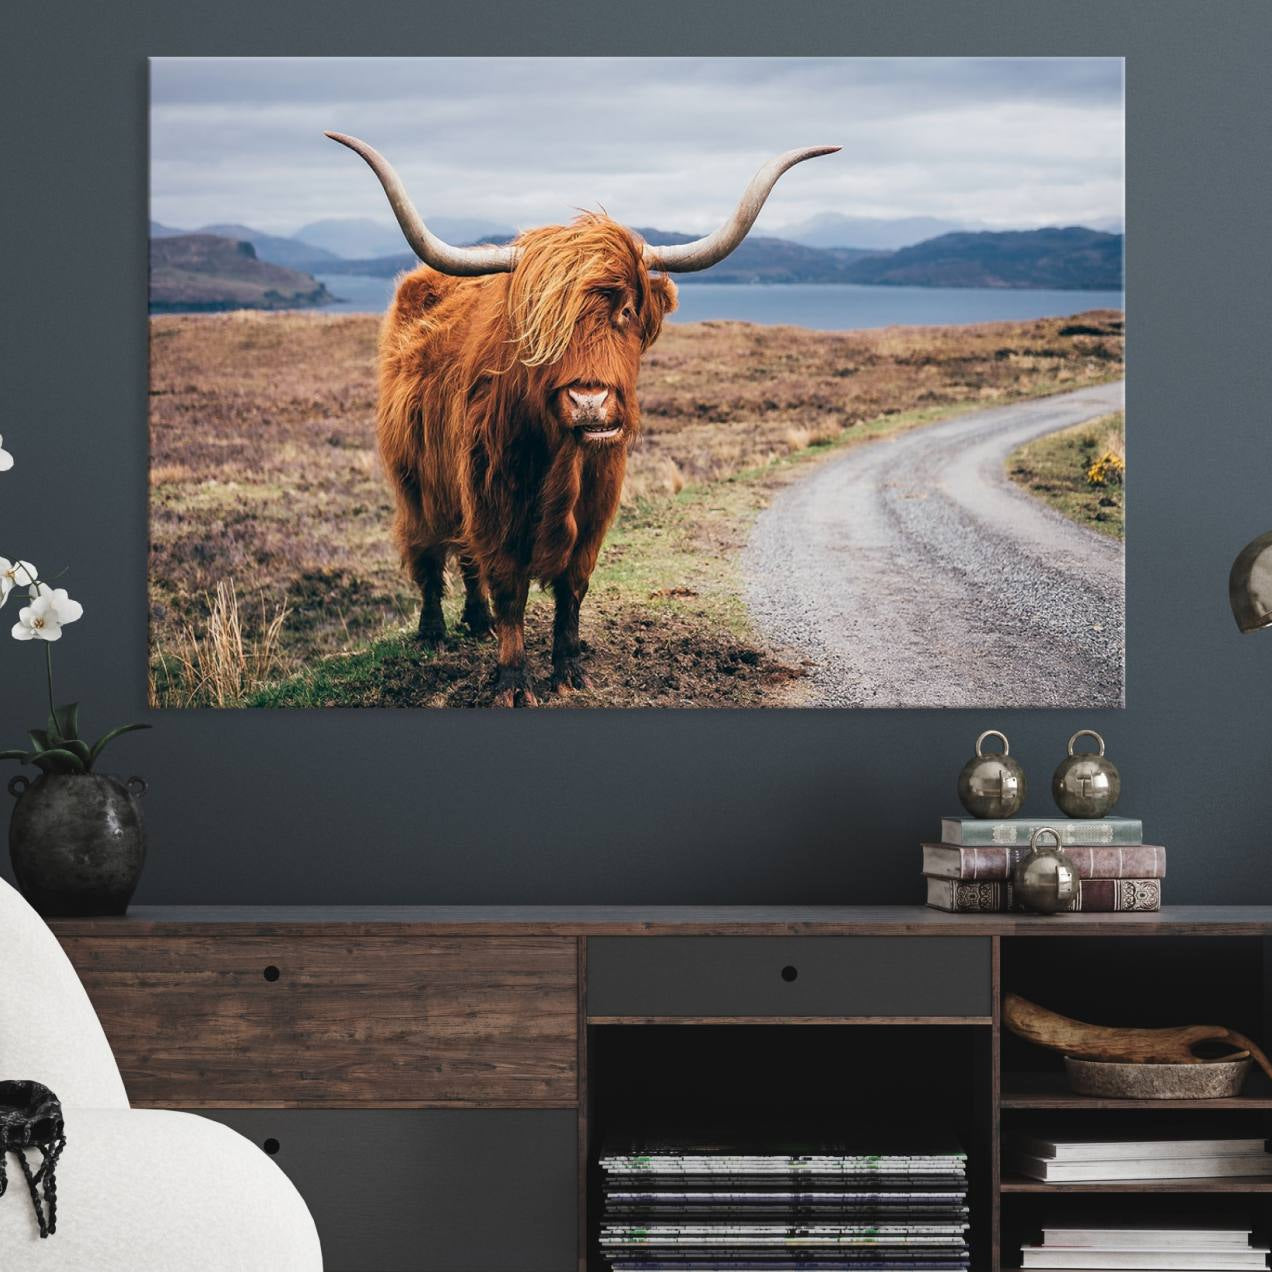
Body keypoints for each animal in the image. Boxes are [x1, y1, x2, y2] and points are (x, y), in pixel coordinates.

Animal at [327, 132, 838, 706]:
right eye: (540, 321)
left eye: (627, 310)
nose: (589, 401)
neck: (561, 460)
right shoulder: (493, 500)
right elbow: (509, 588)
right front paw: (512, 681)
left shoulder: (595, 507)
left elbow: (572, 588)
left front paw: (569, 669)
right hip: (416, 479)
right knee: (430, 553)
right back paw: (434, 632)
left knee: (464, 559)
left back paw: (476, 623)